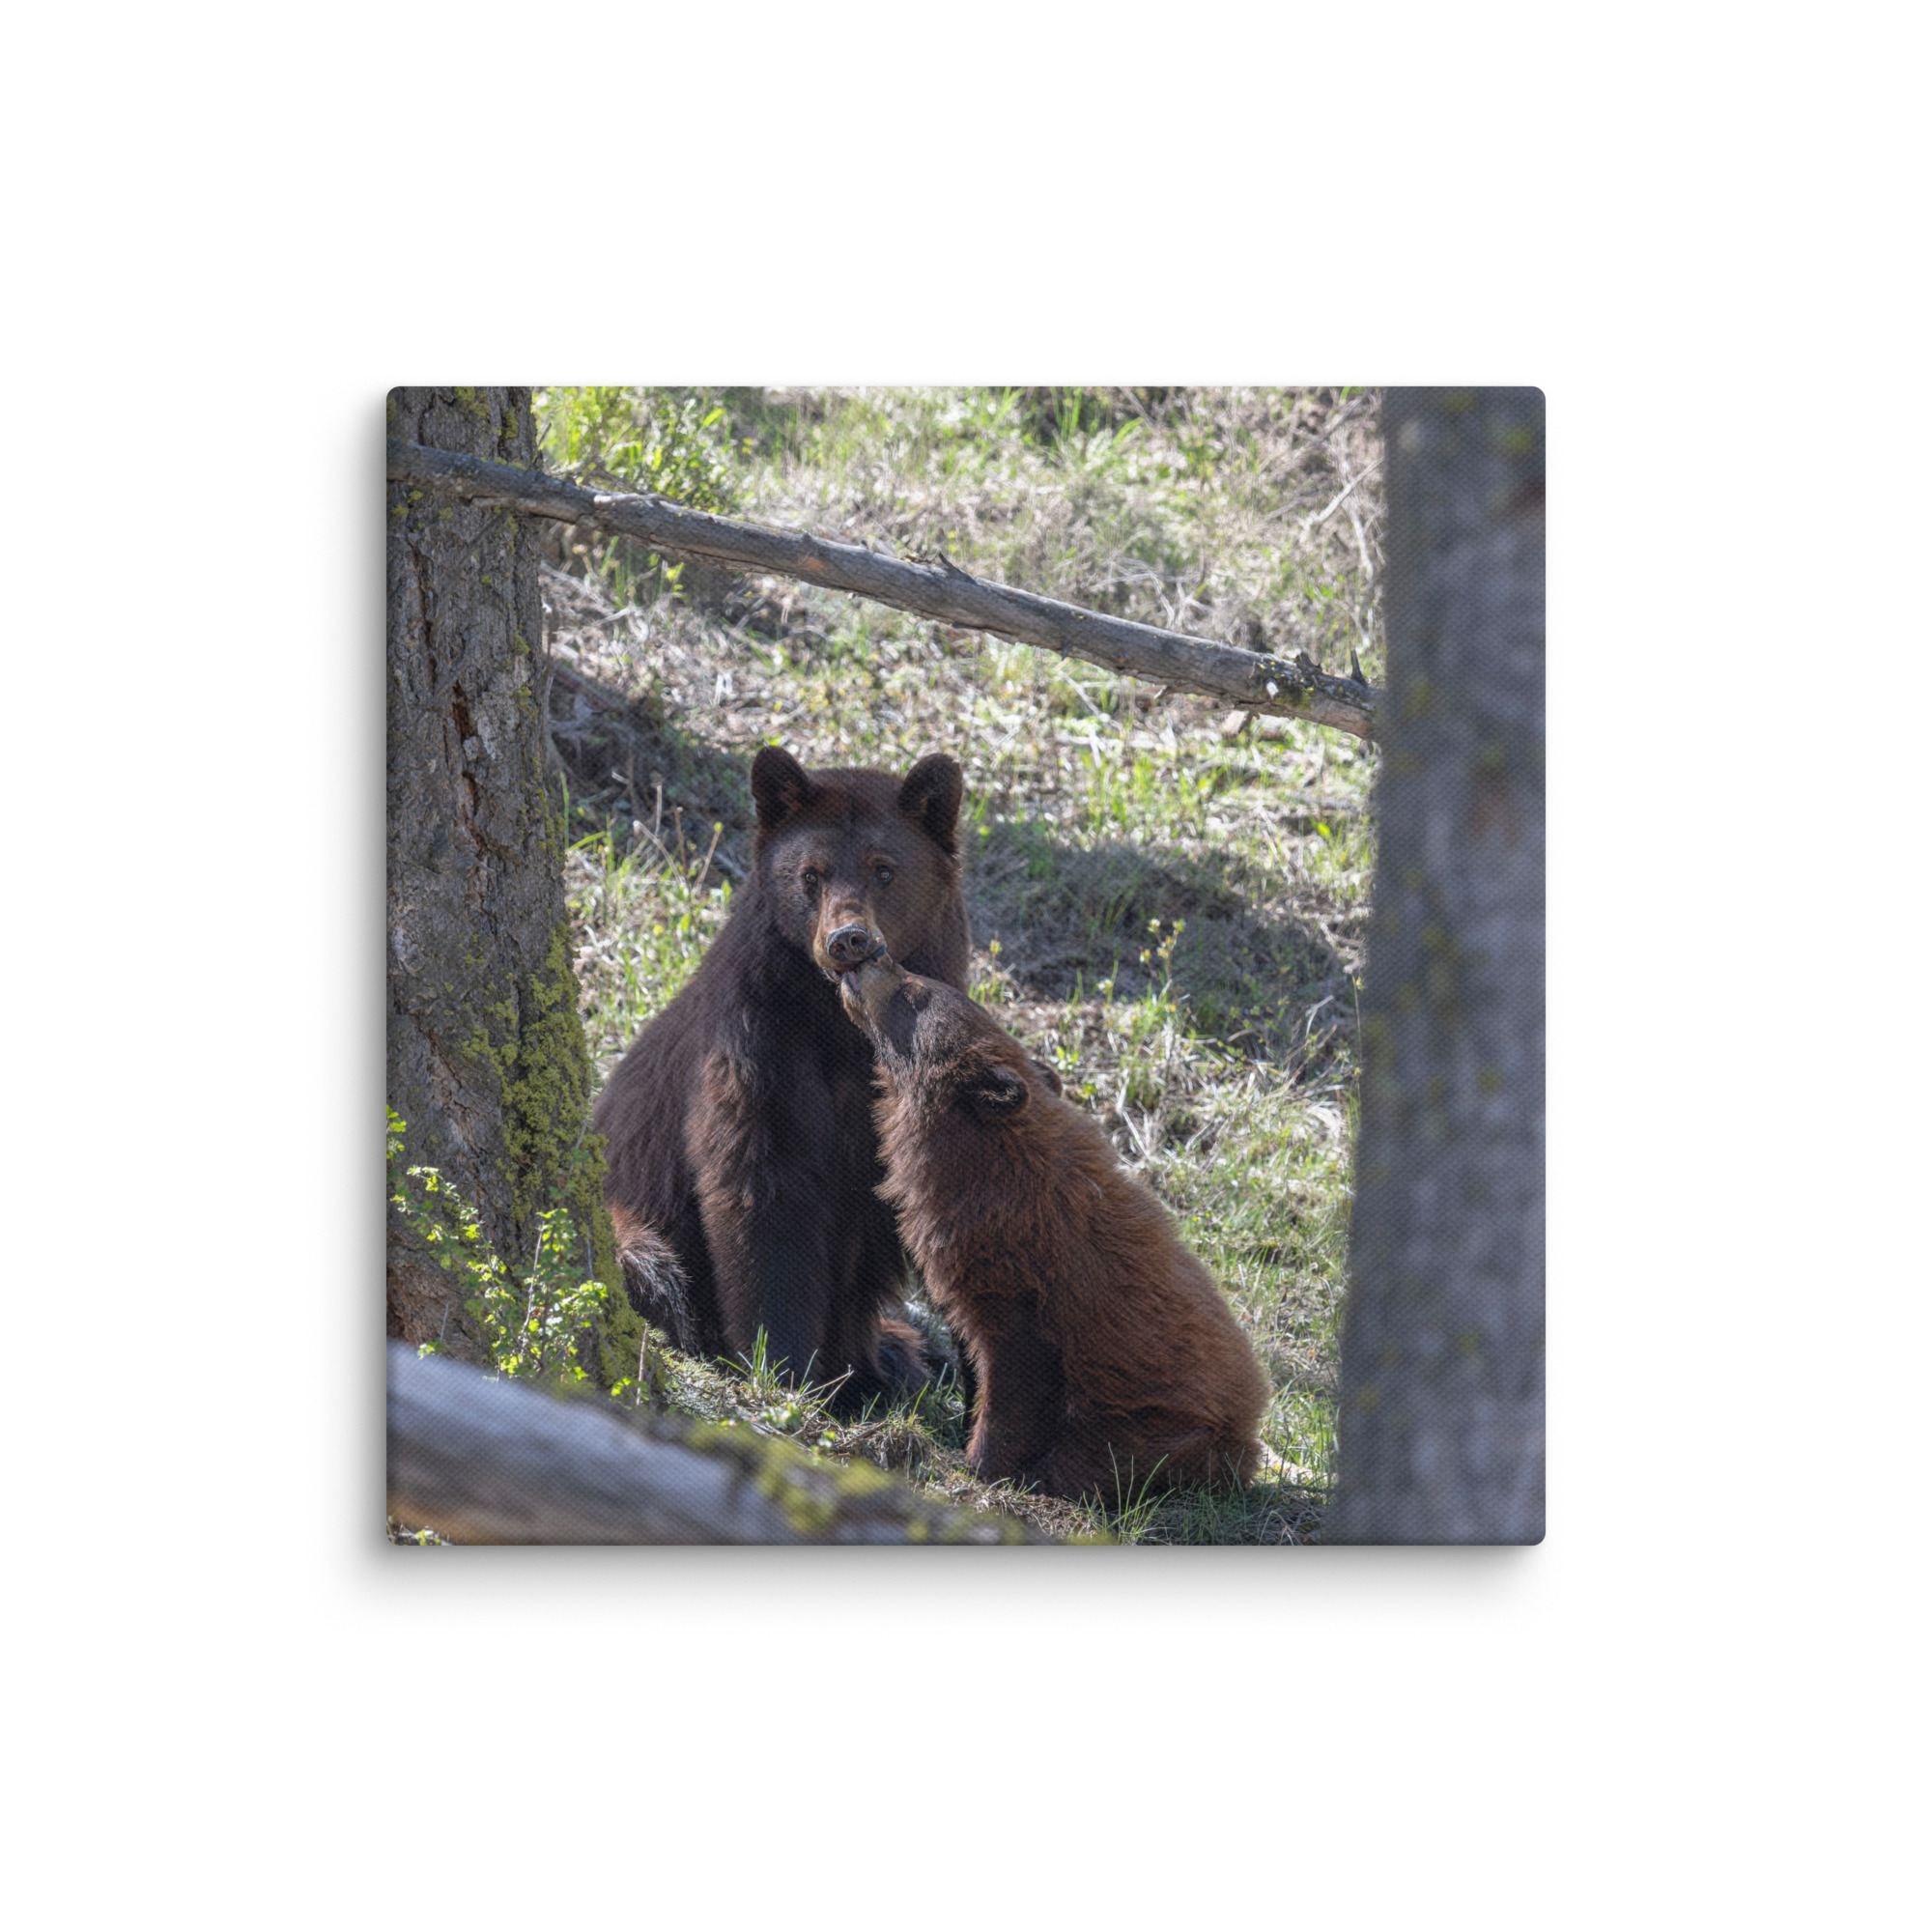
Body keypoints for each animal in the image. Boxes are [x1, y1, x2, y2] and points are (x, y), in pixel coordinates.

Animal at [591, 745, 972, 1414]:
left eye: (884, 870)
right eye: (811, 875)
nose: (848, 939)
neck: (841, 1028)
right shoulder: (756, 1047)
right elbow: (762, 1193)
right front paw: (786, 1368)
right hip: (630, 1222)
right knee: (653, 1267)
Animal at [834, 940, 1270, 1502]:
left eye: (915, 992)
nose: (874, 953)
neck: (986, 1162)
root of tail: (1249, 1432)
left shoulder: (1023, 1278)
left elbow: (1016, 1373)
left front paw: (981, 1461)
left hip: (1164, 1433)